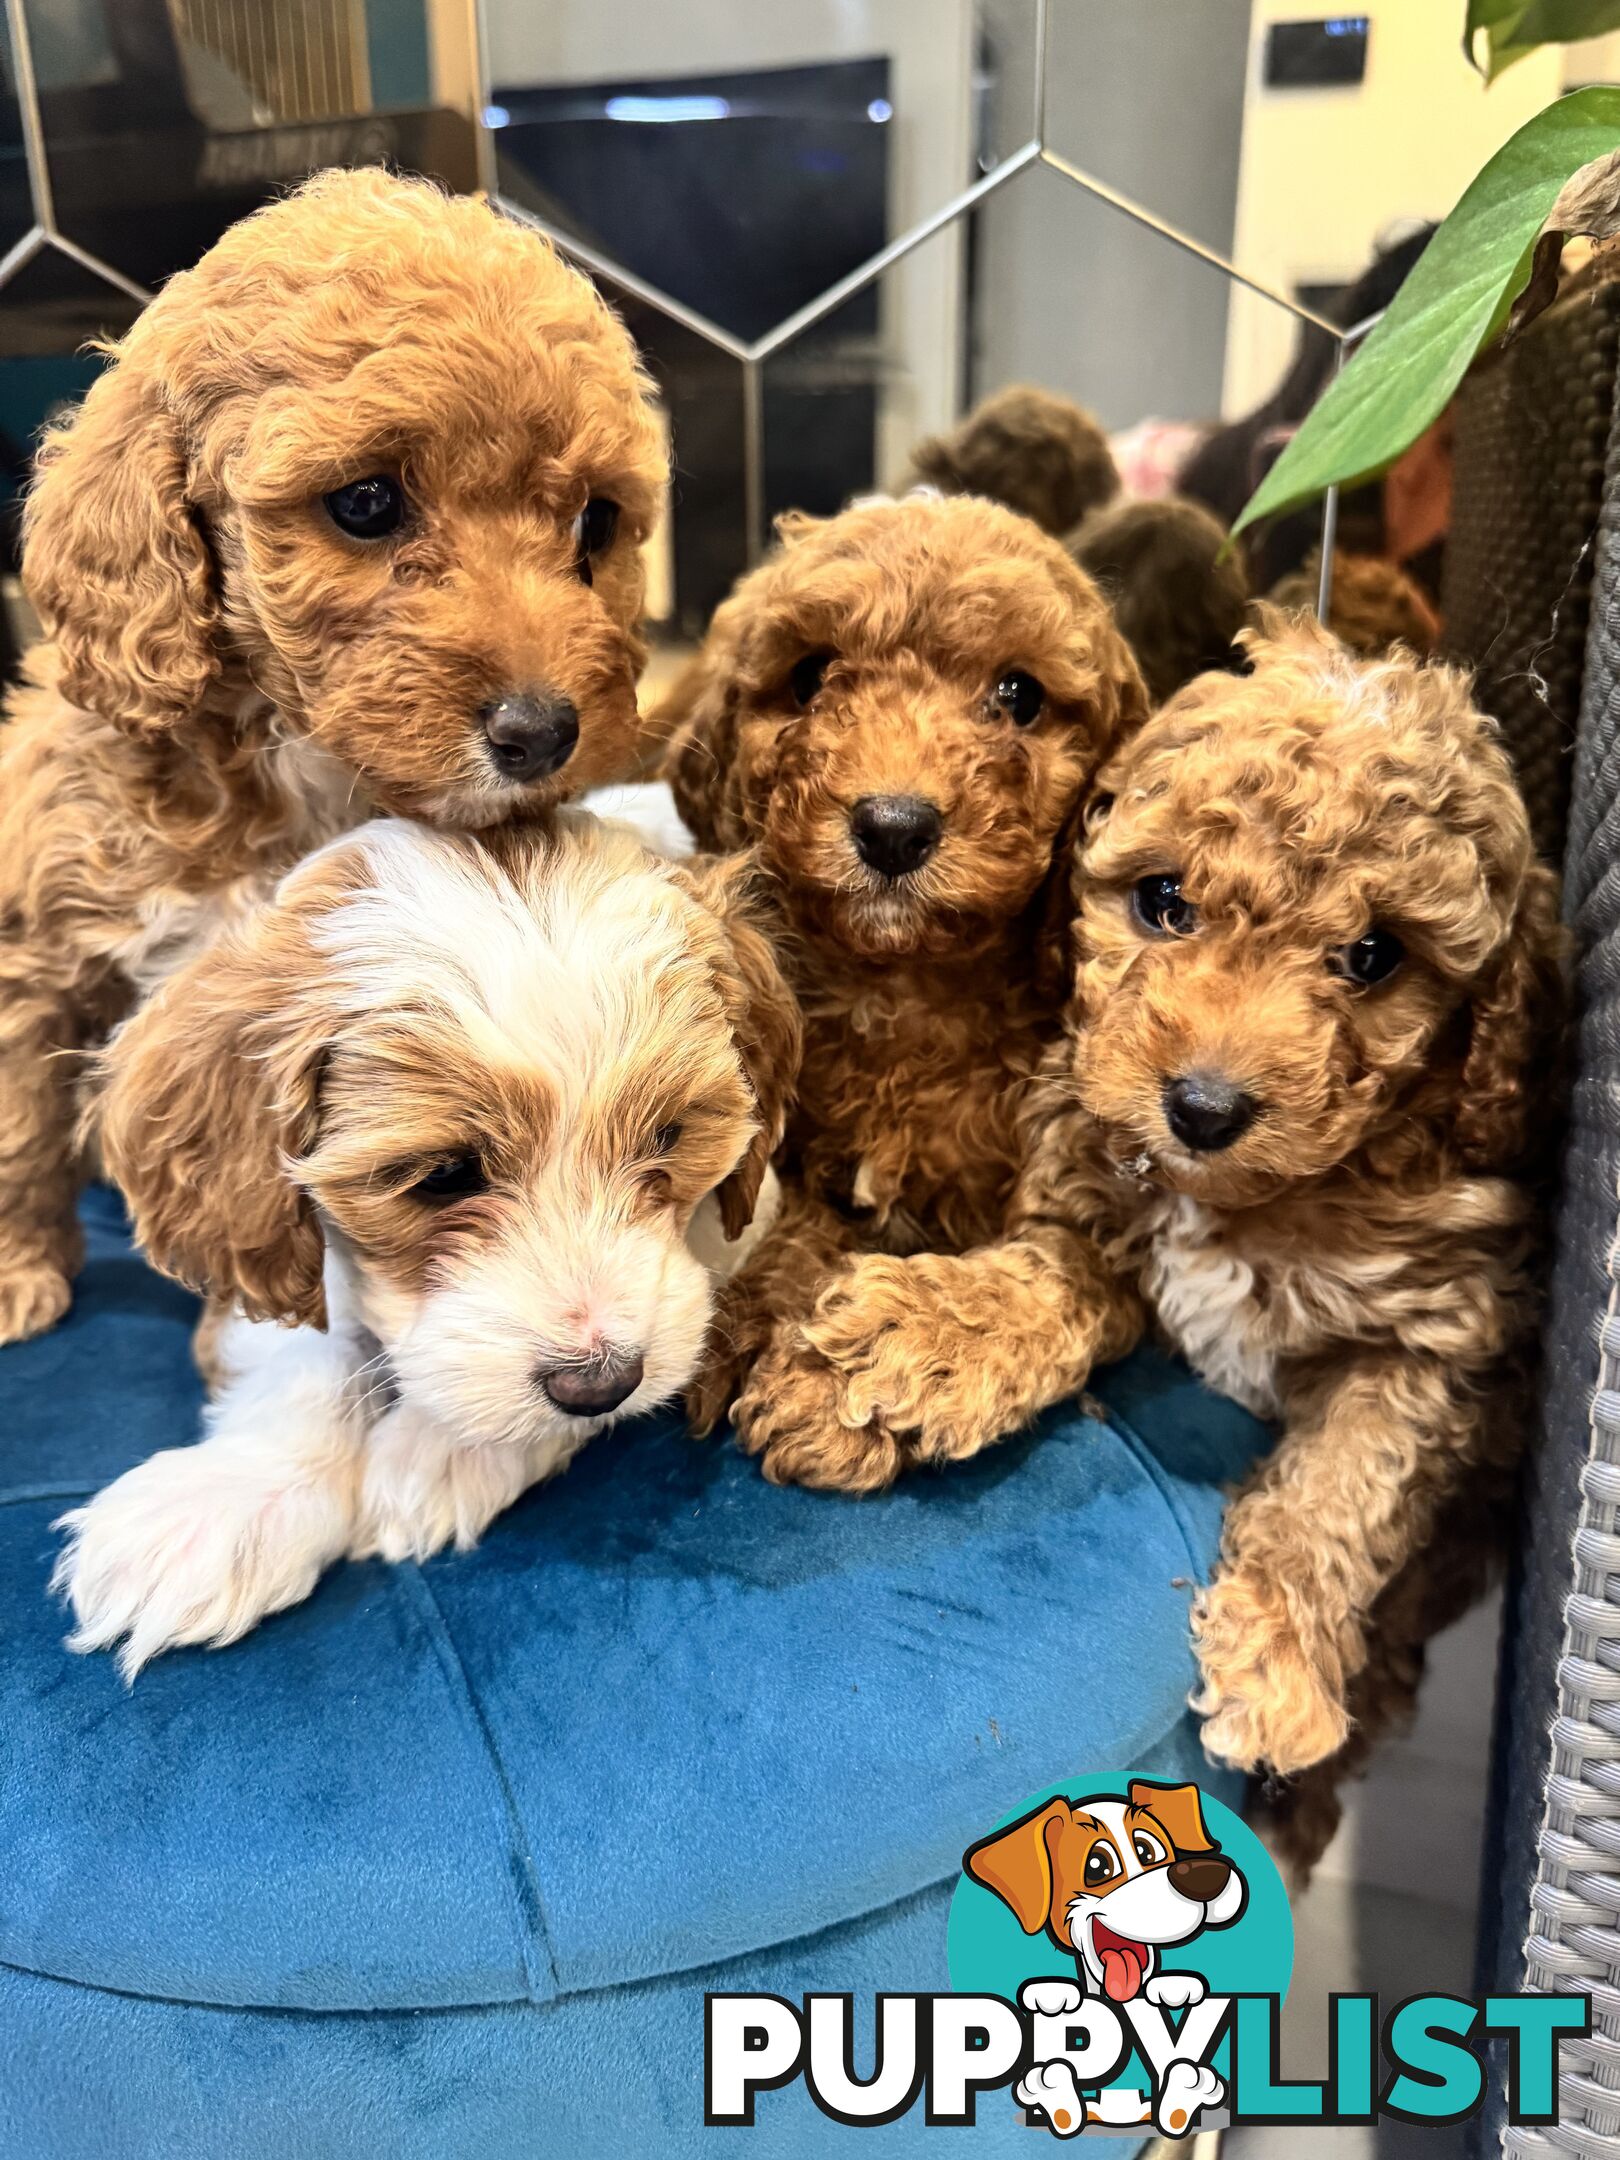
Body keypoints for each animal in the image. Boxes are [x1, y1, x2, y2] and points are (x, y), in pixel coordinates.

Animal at [0, 168, 665, 1339]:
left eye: (595, 522)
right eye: (365, 503)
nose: (542, 733)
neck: (288, 758)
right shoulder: (41, 940)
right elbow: (22, 1120)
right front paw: (18, 1270)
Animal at [54, 812, 803, 1667]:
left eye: (669, 1137)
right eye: (443, 1175)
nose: (599, 1381)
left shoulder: (739, 1220)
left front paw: (445, 1449)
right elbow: (301, 1353)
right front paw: (222, 1502)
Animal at [781, 622, 1563, 1823]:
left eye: (1375, 956)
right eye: (1162, 901)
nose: (1201, 1108)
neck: (1239, 1202)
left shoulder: (1438, 1331)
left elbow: (1344, 1483)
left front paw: (1278, 1657)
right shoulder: (1090, 1196)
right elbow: (1039, 1280)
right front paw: (914, 1345)